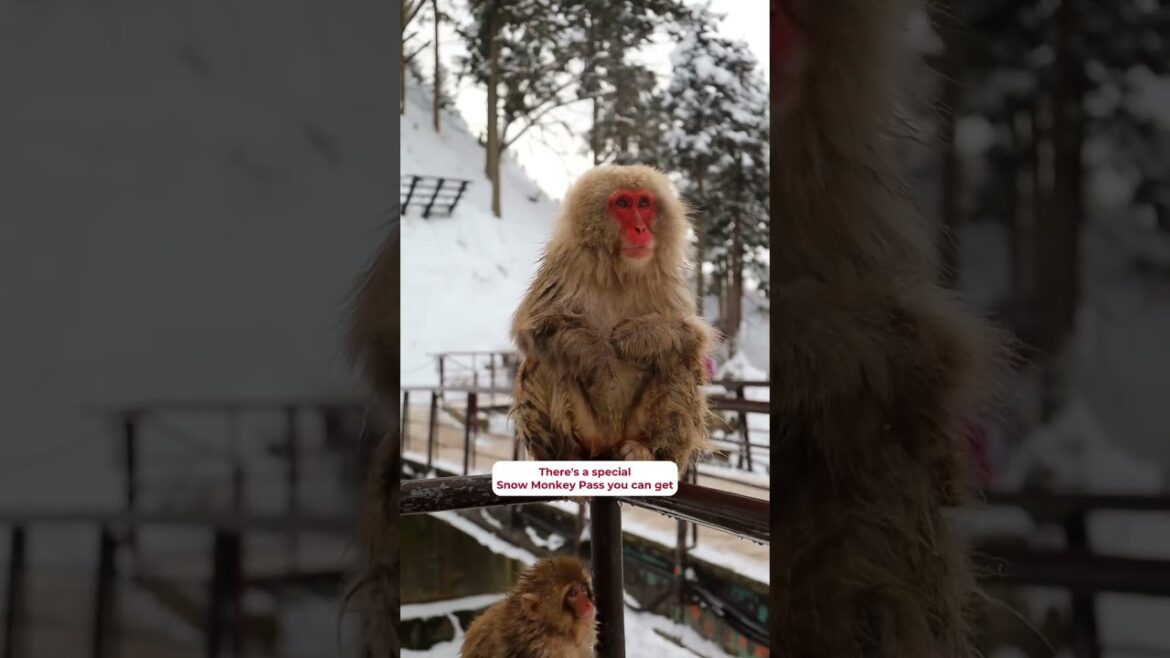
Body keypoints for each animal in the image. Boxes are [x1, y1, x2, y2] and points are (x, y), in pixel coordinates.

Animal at [508, 164, 715, 475]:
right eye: (623, 204)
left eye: (644, 203)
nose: (640, 228)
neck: (620, 274)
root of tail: (608, 445)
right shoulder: (562, 270)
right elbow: (534, 327)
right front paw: (597, 352)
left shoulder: (668, 285)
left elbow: (692, 341)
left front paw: (639, 338)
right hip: (588, 431)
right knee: (545, 359)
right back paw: (565, 456)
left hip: (633, 428)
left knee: (678, 362)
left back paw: (649, 453)